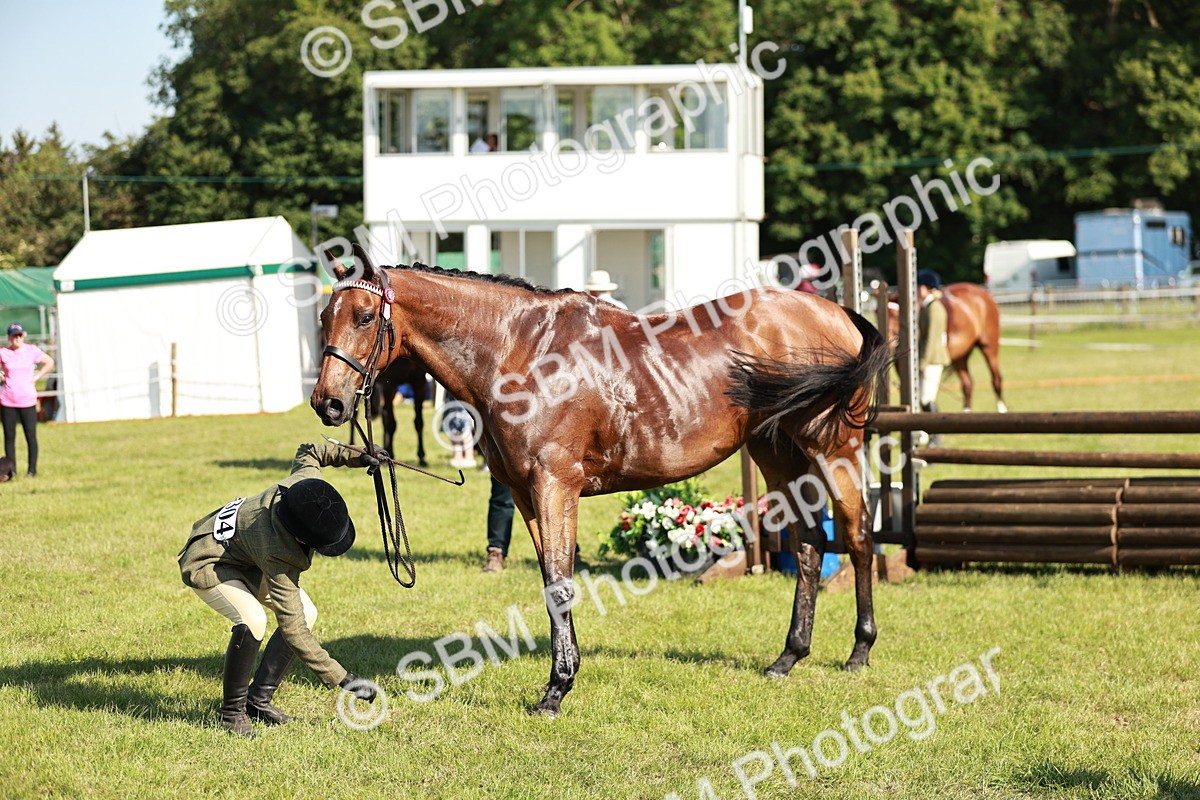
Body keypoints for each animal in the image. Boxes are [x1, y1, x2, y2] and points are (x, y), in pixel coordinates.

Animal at [311, 245, 891, 716]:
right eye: (323, 317)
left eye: (365, 316)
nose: (327, 403)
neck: (519, 349)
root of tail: (836, 311)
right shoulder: (525, 493)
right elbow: (551, 581)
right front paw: (562, 678)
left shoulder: (554, 485)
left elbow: (561, 583)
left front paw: (556, 689)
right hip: (777, 455)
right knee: (810, 544)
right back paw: (788, 657)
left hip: (835, 450)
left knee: (858, 535)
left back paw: (860, 650)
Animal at [887, 282, 1007, 412]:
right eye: (878, 312)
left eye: (895, 316)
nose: (888, 345)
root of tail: (983, 292)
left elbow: (926, 401)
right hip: (960, 356)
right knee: (967, 384)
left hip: (989, 347)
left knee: (996, 380)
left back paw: (1002, 410)